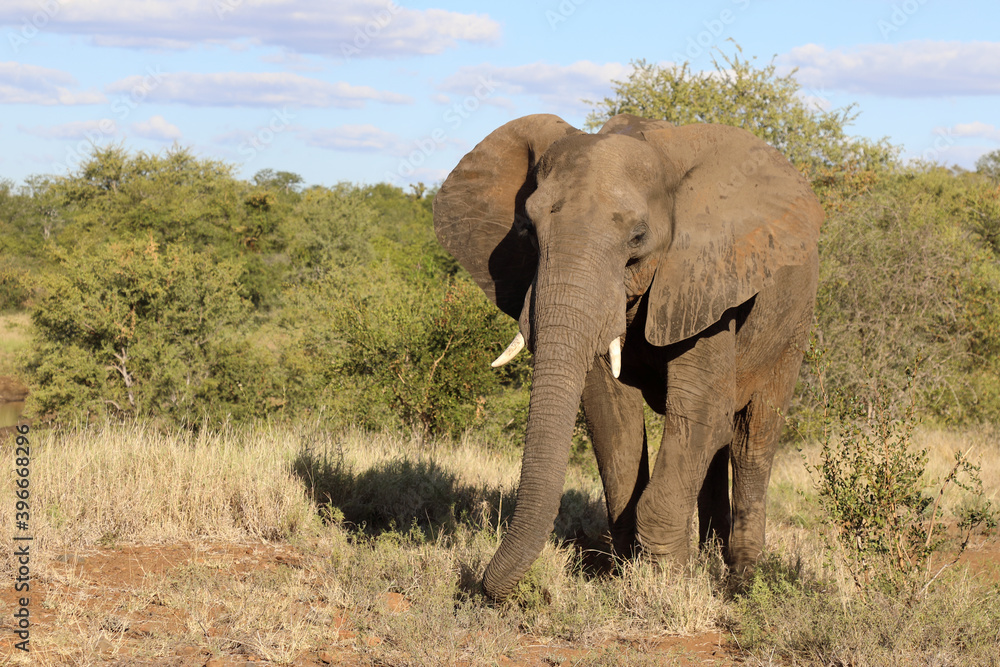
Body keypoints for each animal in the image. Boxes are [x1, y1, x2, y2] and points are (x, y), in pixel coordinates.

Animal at [434, 111, 824, 600]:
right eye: (527, 230)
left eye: (637, 237)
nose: (479, 585)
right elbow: (610, 415)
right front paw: (627, 573)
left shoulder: (705, 278)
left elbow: (701, 410)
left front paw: (670, 581)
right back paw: (709, 560)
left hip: (794, 321)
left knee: (752, 437)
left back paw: (739, 581)